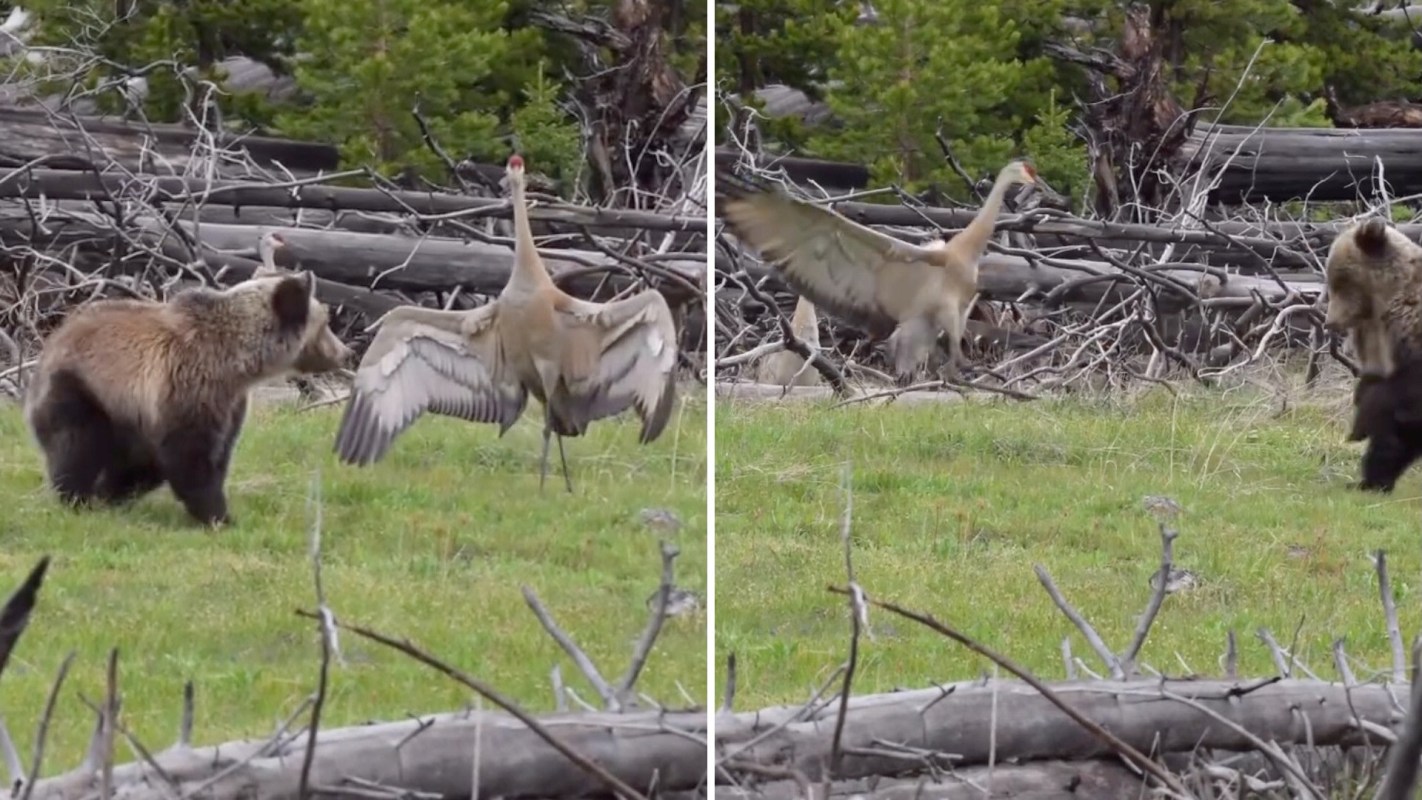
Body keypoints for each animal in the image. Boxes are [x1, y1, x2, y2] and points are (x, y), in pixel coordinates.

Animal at [22, 270, 353, 527]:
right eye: (325, 323)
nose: (345, 352)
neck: (238, 364)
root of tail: (53, 340)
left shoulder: (229, 403)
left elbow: (211, 455)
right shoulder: (189, 387)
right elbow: (192, 457)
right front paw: (219, 516)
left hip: (126, 413)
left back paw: (108, 493)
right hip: (86, 387)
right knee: (78, 442)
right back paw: (77, 497)